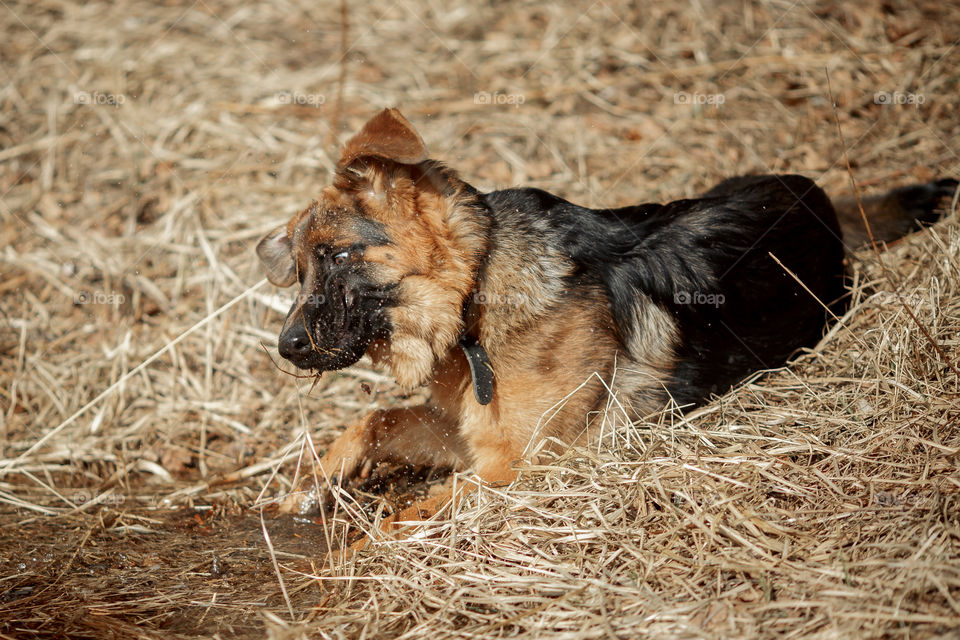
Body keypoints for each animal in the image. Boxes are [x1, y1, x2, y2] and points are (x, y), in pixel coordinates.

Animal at [258, 109, 956, 524]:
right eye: (299, 264)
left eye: (337, 254)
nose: (285, 348)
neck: (477, 296)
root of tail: (819, 200)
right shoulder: (465, 437)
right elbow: (375, 419)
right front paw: (311, 487)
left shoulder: (513, 465)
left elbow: (404, 518)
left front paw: (349, 553)